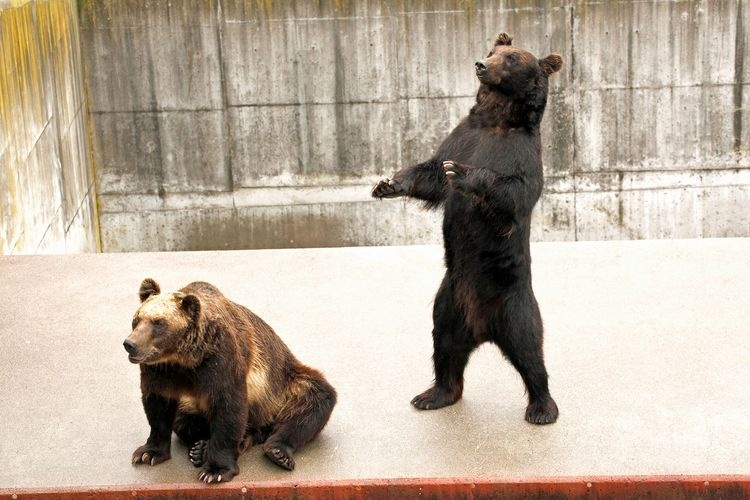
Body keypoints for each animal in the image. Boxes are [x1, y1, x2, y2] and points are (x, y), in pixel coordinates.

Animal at [123, 278, 336, 483]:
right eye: (137, 318)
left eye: (158, 322)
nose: (130, 344)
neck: (184, 359)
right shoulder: (160, 371)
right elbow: (158, 407)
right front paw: (148, 453)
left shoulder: (221, 361)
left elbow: (228, 409)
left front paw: (215, 471)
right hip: (192, 402)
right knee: (183, 419)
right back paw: (200, 448)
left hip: (283, 386)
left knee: (314, 399)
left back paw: (277, 451)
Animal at [372, 33, 562, 424]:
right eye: (493, 50)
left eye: (513, 58)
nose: (481, 64)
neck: (497, 119)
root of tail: (483, 329)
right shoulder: (463, 135)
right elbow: (431, 171)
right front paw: (388, 184)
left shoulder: (522, 155)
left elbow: (515, 192)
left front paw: (462, 172)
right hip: (448, 302)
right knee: (443, 346)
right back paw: (433, 394)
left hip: (514, 304)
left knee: (530, 349)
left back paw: (542, 407)